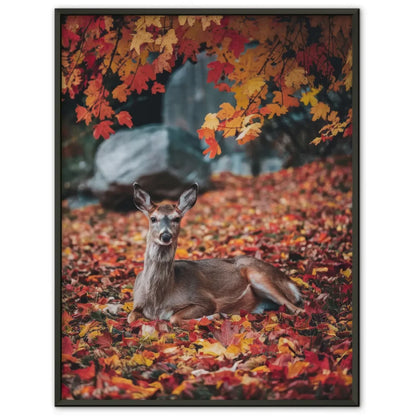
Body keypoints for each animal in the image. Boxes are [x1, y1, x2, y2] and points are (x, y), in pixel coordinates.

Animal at [127, 184, 302, 326]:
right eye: (153, 218)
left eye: (177, 218)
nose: (165, 236)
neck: (157, 301)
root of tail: (290, 283)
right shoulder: (136, 303)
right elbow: (130, 317)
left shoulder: (204, 299)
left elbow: (174, 318)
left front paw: (216, 315)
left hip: (258, 274)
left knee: (297, 308)